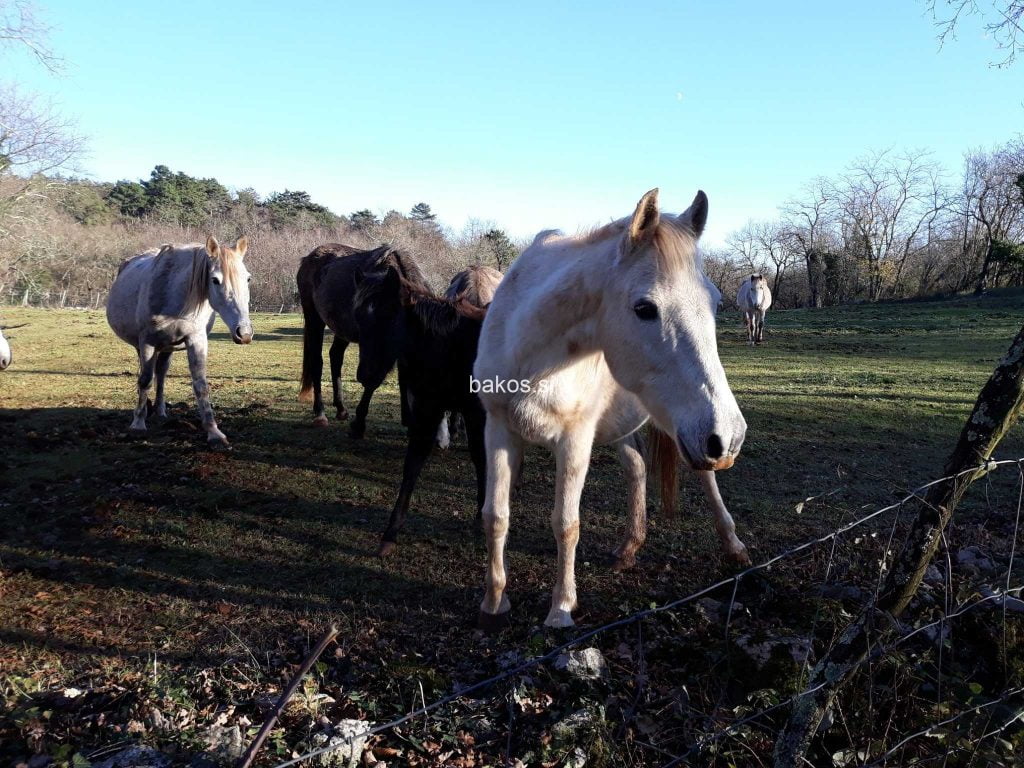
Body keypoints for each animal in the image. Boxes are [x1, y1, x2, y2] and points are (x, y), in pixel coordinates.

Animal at [105, 237, 253, 447]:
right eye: (215, 280)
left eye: (248, 278)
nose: (244, 333)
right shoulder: (147, 342)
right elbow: (145, 380)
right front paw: (138, 423)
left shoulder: (196, 340)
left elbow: (200, 385)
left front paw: (214, 432)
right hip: (143, 346)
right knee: (147, 375)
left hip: (167, 347)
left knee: (161, 374)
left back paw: (160, 411)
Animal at [296, 244, 426, 438]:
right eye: (357, 316)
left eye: (389, 316)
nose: (363, 375)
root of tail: (309, 258)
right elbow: (374, 382)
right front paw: (358, 423)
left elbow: (403, 376)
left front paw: (408, 419)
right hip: (314, 320)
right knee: (317, 362)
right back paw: (320, 414)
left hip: (340, 331)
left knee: (335, 356)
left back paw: (341, 409)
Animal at [351, 262, 491, 557]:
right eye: (358, 317)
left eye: (388, 315)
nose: (366, 374)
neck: (449, 346)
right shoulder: (428, 412)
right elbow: (412, 464)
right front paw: (390, 534)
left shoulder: (476, 414)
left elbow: (480, 458)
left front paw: (481, 519)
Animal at [473, 188, 748, 629]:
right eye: (645, 308)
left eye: (716, 302)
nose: (730, 435)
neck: (531, 354)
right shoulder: (499, 431)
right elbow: (495, 515)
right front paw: (494, 603)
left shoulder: (575, 440)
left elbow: (566, 523)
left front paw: (561, 609)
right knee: (636, 468)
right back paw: (629, 549)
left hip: (679, 428)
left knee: (705, 477)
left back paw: (734, 545)